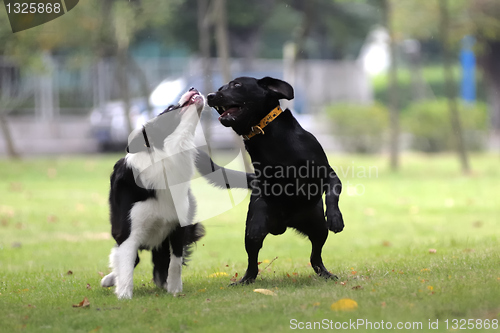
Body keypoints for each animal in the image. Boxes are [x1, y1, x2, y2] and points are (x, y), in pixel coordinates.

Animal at [101, 87, 205, 296]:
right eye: (170, 108)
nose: (192, 88)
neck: (167, 157)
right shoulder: (128, 230)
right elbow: (126, 263)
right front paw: (124, 296)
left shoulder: (178, 225)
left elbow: (175, 262)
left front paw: (174, 290)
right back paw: (110, 279)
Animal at [203, 76, 344, 282]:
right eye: (221, 88)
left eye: (237, 85)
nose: (210, 95)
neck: (269, 137)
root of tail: (285, 224)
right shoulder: (264, 184)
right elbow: (262, 202)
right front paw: (258, 222)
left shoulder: (329, 174)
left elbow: (333, 194)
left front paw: (335, 218)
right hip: (251, 238)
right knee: (252, 261)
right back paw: (245, 280)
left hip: (319, 227)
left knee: (315, 256)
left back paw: (326, 274)